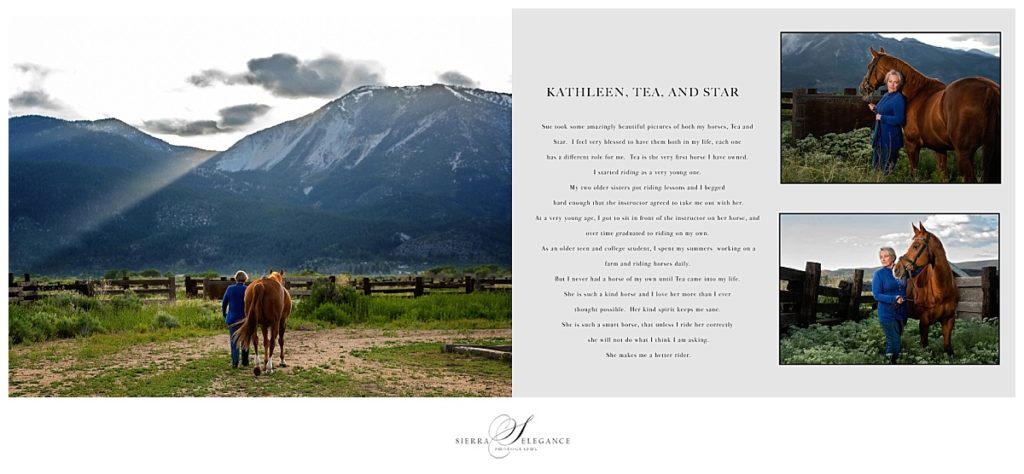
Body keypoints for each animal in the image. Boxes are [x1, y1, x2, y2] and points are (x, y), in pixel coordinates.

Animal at [856, 46, 999, 183]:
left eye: (869, 66)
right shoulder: (940, 148)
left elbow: (914, 174)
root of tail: (990, 89)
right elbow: (943, 176)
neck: (915, 93)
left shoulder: (912, 145)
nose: (862, 87)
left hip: (964, 153)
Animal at [892, 225, 954, 356]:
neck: (941, 291)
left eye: (915, 246)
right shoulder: (924, 322)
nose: (896, 269)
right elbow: (924, 346)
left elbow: (947, 348)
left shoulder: (949, 320)